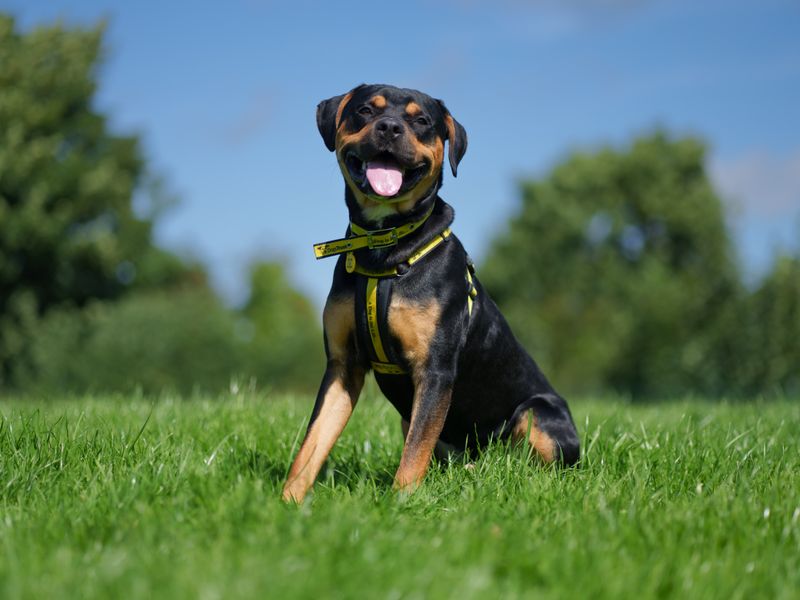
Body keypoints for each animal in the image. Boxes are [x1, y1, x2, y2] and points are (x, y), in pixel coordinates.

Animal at [284, 84, 580, 502]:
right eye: (365, 110)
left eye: (421, 120)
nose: (389, 127)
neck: (385, 245)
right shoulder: (342, 365)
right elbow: (312, 445)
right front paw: (286, 502)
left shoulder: (435, 370)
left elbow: (412, 458)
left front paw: (400, 504)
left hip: (537, 413)